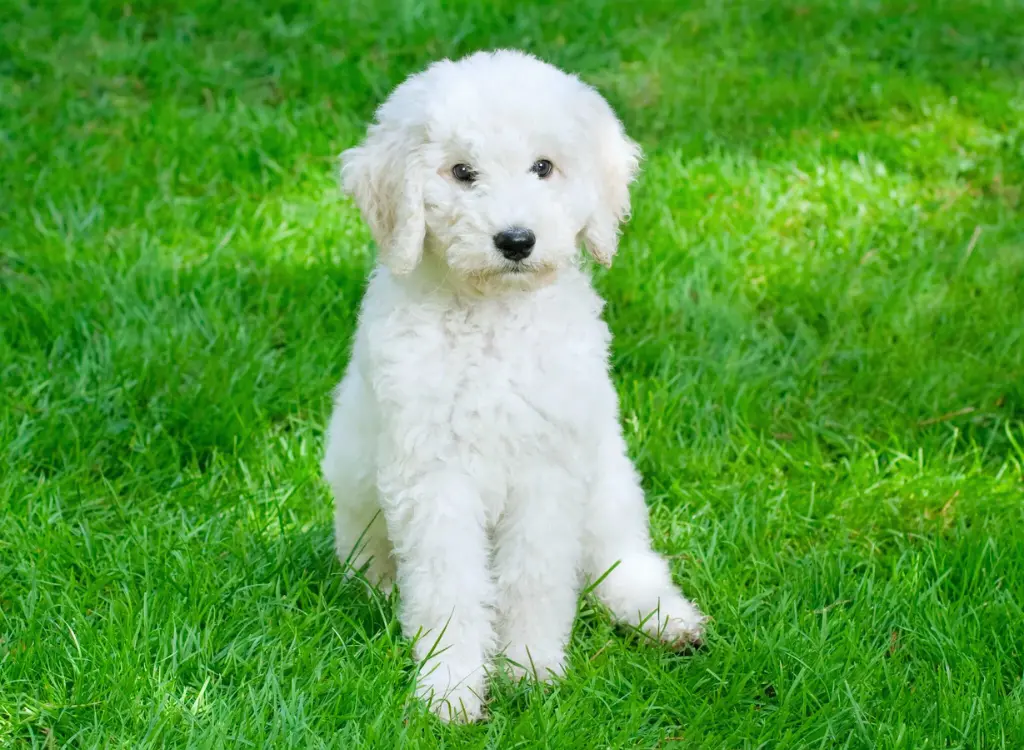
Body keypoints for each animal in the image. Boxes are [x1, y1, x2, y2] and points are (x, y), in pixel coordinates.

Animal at [321, 49, 704, 725]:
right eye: (461, 172)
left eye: (543, 167)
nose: (516, 241)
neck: (493, 316)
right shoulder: (434, 478)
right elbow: (449, 588)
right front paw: (449, 689)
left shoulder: (546, 471)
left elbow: (536, 576)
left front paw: (530, 671)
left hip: (609, 480)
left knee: (622, 560)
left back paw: (664, 619)